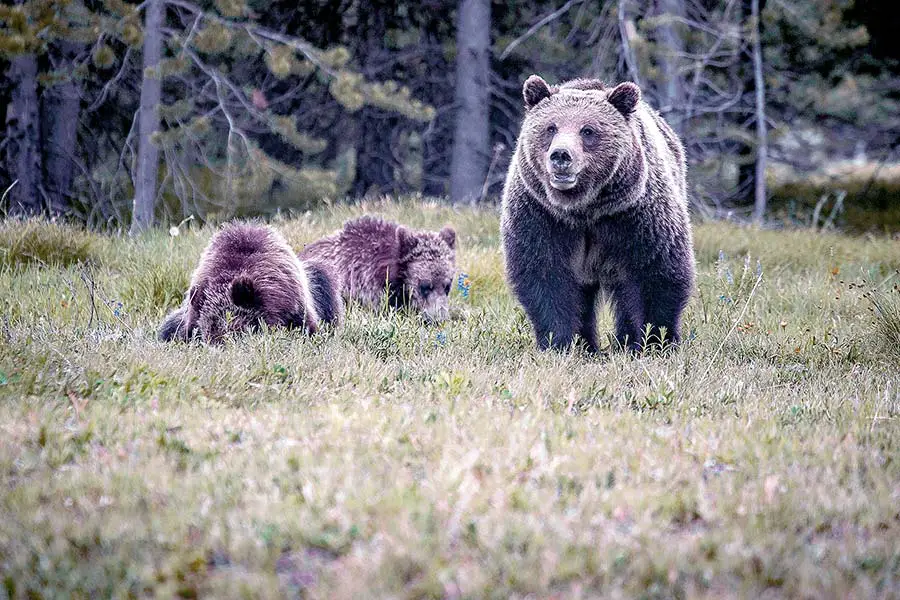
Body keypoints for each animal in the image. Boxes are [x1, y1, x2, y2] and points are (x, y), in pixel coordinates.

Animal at [500, 75, 696, 352]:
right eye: (551, 128)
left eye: (588, 130)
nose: (561, 155)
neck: (584, 209)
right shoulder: (541, 216)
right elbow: (546, 276)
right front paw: (559, 343)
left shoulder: (635, 217)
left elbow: (656, 272)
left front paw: (656, 341)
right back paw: (588, 345)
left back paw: (626, 342)